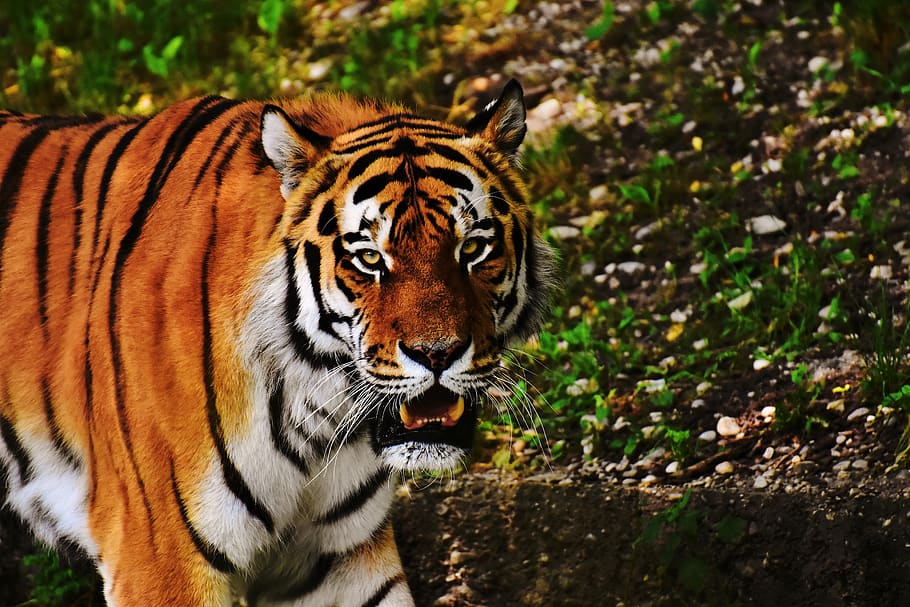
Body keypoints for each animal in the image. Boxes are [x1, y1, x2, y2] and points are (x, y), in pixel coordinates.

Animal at [0, 79, 555, 606]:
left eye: (473, 248)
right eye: (369, 258)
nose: (437, 353)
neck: (310, 410)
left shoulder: (335, 558)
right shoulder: (159, 559)